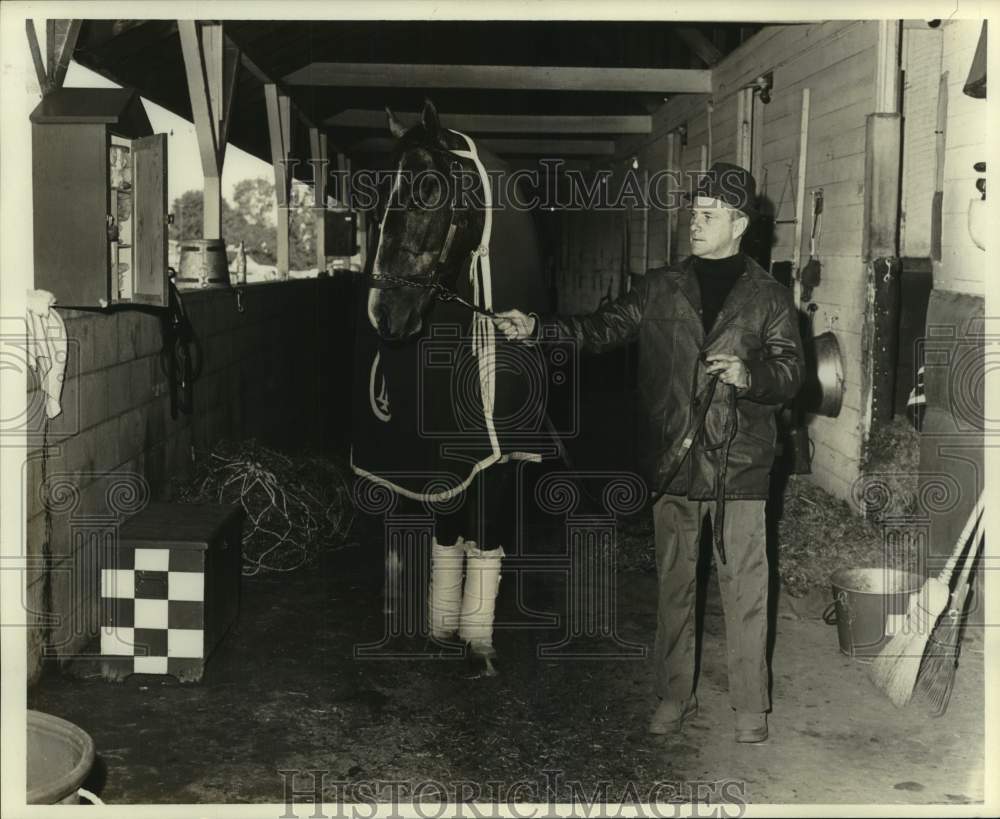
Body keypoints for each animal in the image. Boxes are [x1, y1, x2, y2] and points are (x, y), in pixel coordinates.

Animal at [352, 99, 552, 676]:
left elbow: (483, 537)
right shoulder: (438, 460)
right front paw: (441, 626)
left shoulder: (500, 460)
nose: (385, 317)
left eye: (428, 191)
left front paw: (476, 640)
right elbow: (445, 534)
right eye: (374, 203)